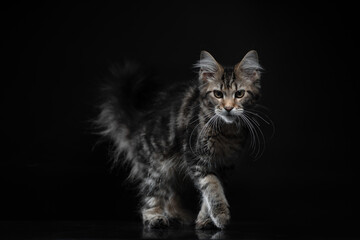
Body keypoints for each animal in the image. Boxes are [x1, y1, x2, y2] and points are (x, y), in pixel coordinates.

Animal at [95, 50, 264, 229]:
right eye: (218, 94)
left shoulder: (225, 165)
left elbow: (211, 192)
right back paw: (155, 217)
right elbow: (212, 187)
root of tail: (138, 122)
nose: (228, 108)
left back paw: (179, 216)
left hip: (172, 172)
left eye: (239, 94)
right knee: (151, 195)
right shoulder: (196, 160)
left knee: (169, 196)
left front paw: (205, 219)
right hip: (155, 167)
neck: (227, 133)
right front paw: (220, 215)